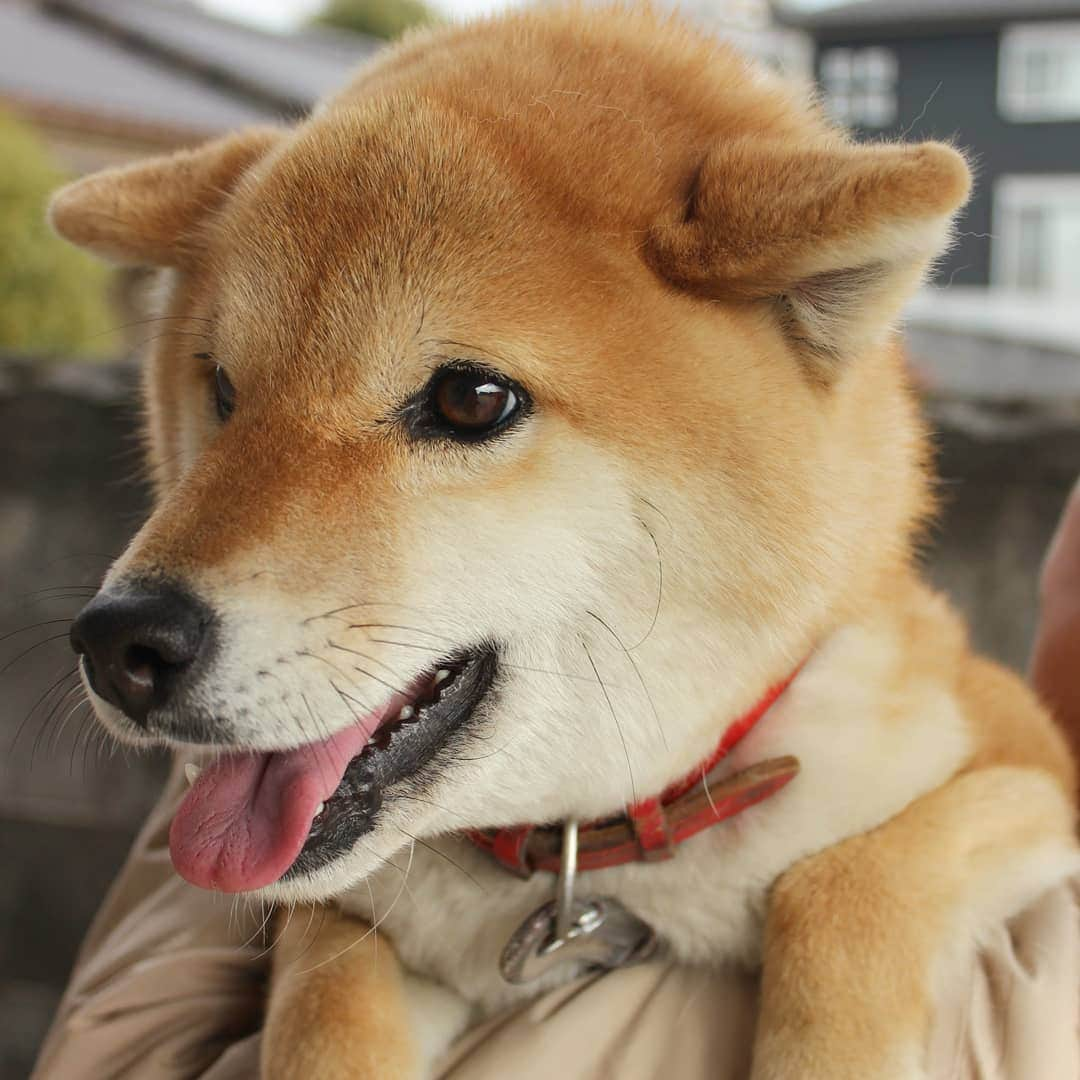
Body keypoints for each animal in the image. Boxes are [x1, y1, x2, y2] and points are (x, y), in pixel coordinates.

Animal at [50, 4, 1080, 1075]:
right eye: (221, 389)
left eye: (471, 399)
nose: (120, 642)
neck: (588, 845)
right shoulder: (350, 919)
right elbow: (325, 1010)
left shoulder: (1025, 768)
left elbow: (838, 884)